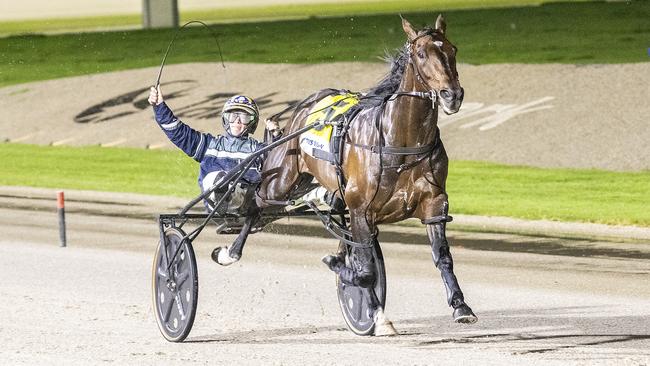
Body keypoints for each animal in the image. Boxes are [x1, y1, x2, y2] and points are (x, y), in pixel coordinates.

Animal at [256, 14, 476, 334]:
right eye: (421, 54)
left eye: (453, 49)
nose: (452, 95)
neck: (400, 142)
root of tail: (308, 103)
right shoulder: (361, 210)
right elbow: (365, 269)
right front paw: (374, 311)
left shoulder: (435, 203)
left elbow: (442, 257)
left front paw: (461, 306)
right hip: (279, 181)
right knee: (255, 204)